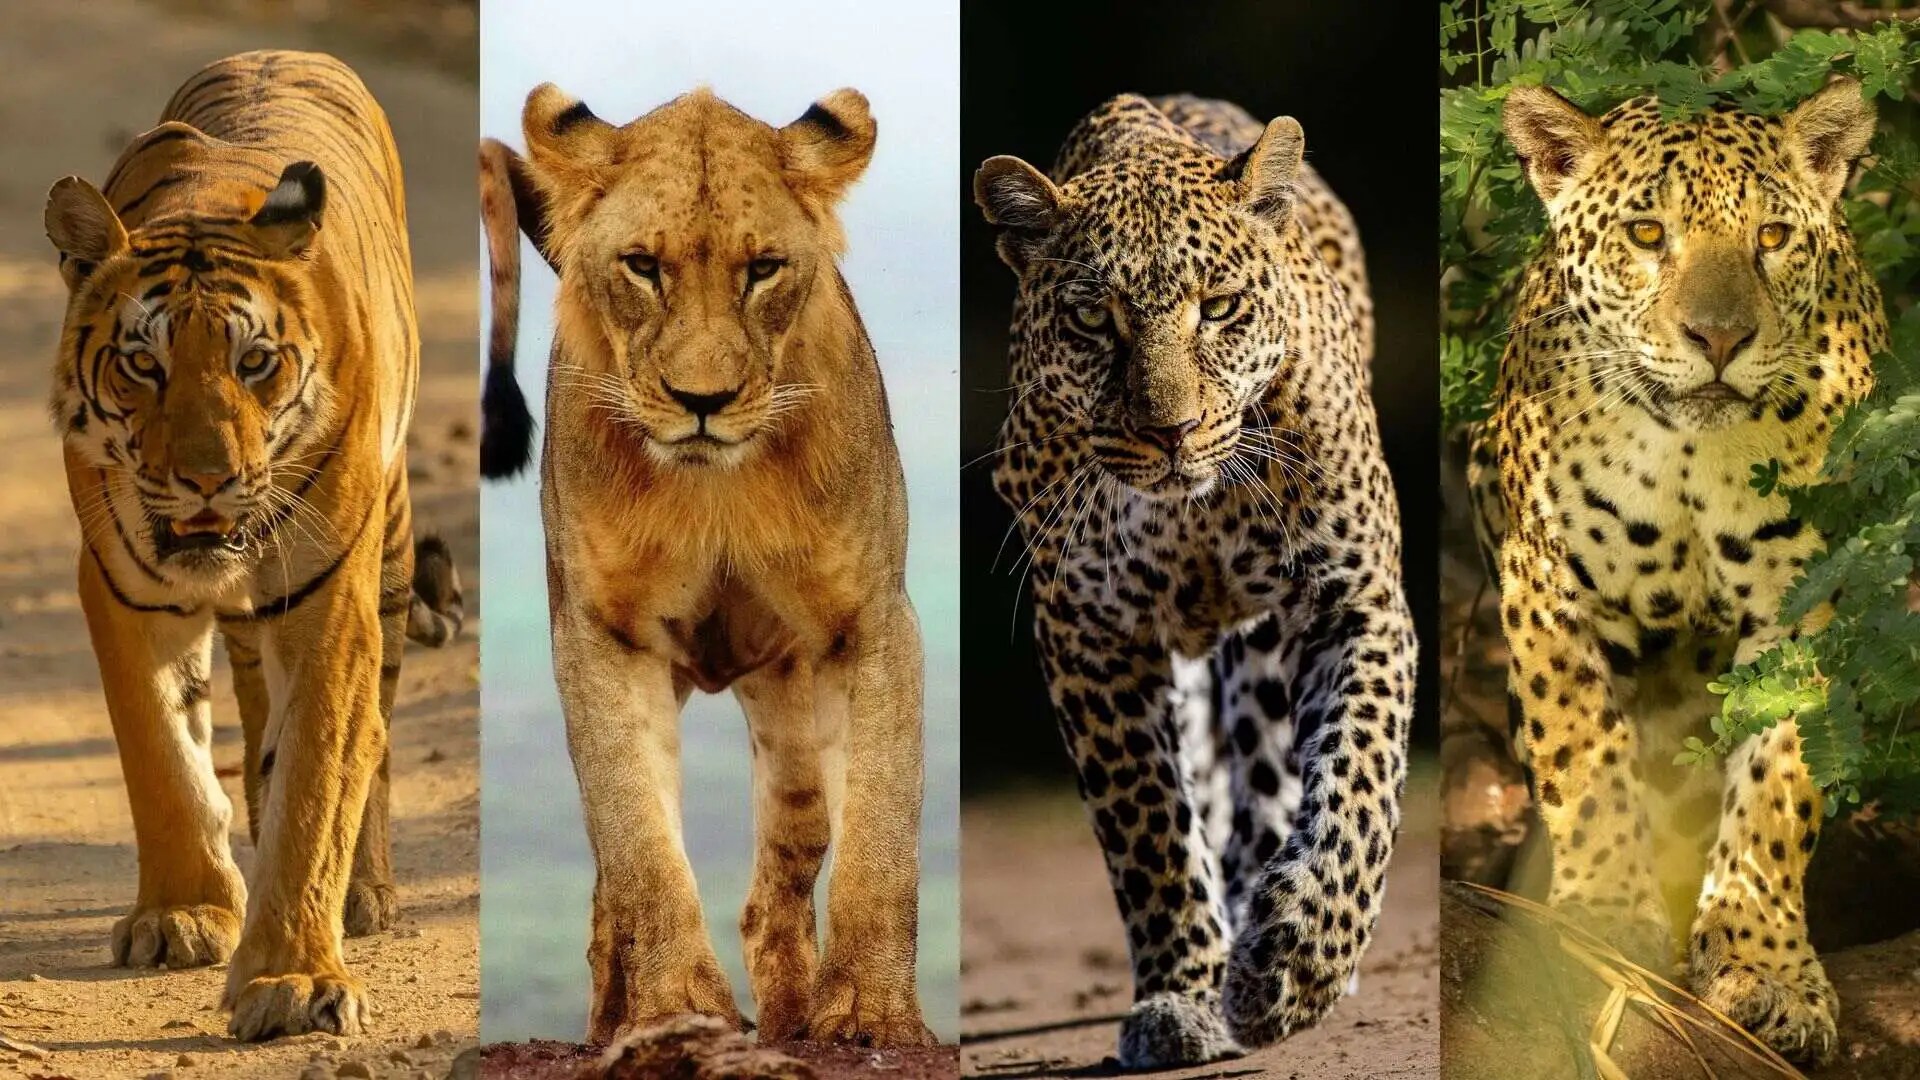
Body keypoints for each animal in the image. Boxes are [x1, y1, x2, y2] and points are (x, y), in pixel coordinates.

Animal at [42, 49, 460, 1041]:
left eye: (254, 362)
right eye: (143, 363)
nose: (206, 478)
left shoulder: (333, 603)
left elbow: (320, 772)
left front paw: (294, 977)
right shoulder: (123, 589)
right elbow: (160, 751)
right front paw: (184, 913)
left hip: (389, 552)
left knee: (377, 725)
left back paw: (366, 892)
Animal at [477, 84, 934, 1047]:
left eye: (762, 269)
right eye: (642, 266)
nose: (702, 401)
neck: (717, 490)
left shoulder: (873, 623)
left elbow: (882, 834)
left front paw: (870, 1016)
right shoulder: (603, 635)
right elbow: (642, 844)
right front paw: (677, 1010)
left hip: (791, 711)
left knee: (784, 874)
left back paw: (793, 1019)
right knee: (611, 891)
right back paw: (613, 1021)